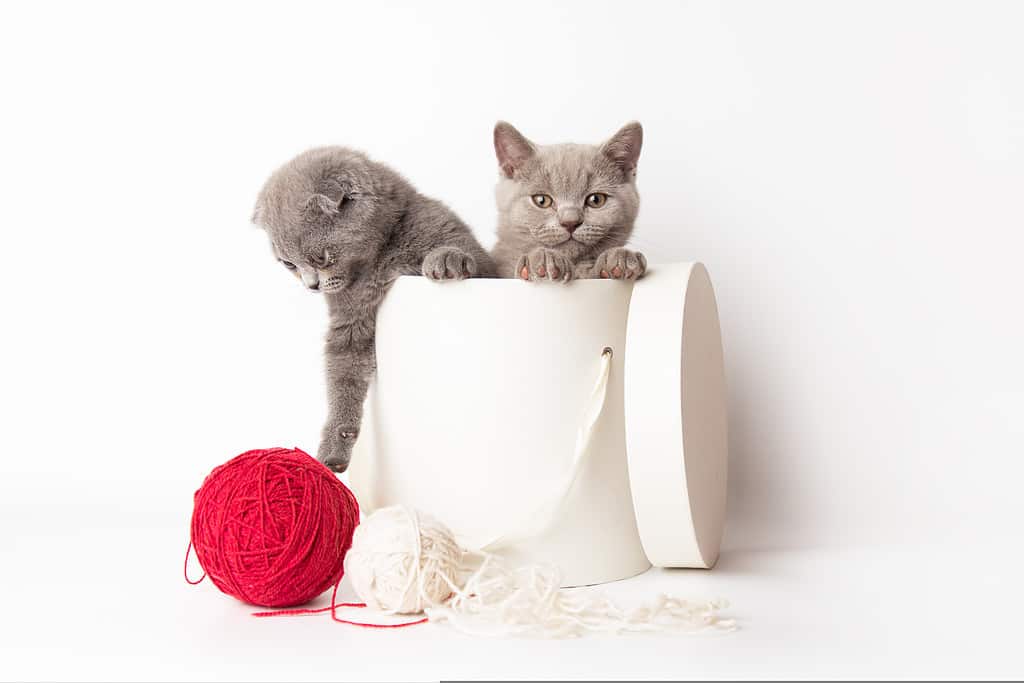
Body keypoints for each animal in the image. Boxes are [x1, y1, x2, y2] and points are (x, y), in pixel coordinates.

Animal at [253, 147, 497, 473]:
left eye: (320, 258)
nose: (311, 286)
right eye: (289, 265)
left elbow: (469, 256)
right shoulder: (350, 321)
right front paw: (334, 448)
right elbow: (343, 376)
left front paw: (447, 259)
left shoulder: (473, 253)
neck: (380, 259)